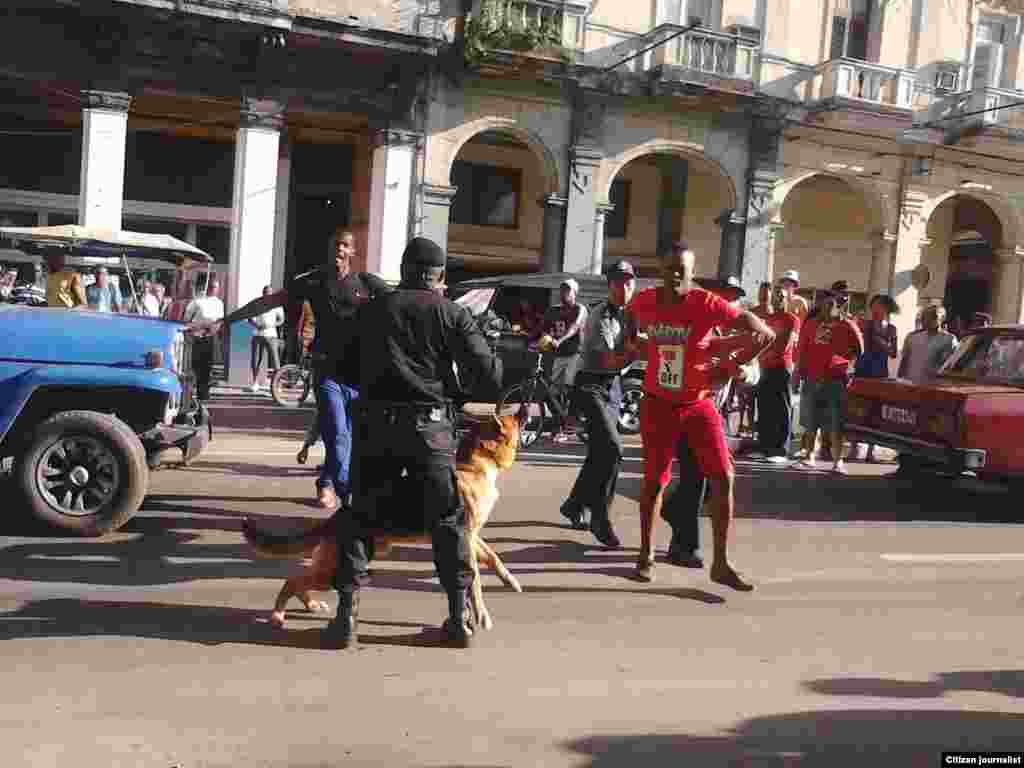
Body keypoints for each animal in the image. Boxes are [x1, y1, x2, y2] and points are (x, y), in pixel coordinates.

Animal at [243, 415, 524, 630]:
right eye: (512, 419)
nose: (523, 408)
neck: (474, 467)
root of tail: (339, 515)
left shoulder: (474, 537)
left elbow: (494, 557)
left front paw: (509, 580)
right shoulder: (466, 538)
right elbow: (475, 584)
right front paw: (481, 615)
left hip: (332, 566)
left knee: (298, 579)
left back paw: (310, 605)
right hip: (332, 570)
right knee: (292, 581)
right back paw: (278, 615)